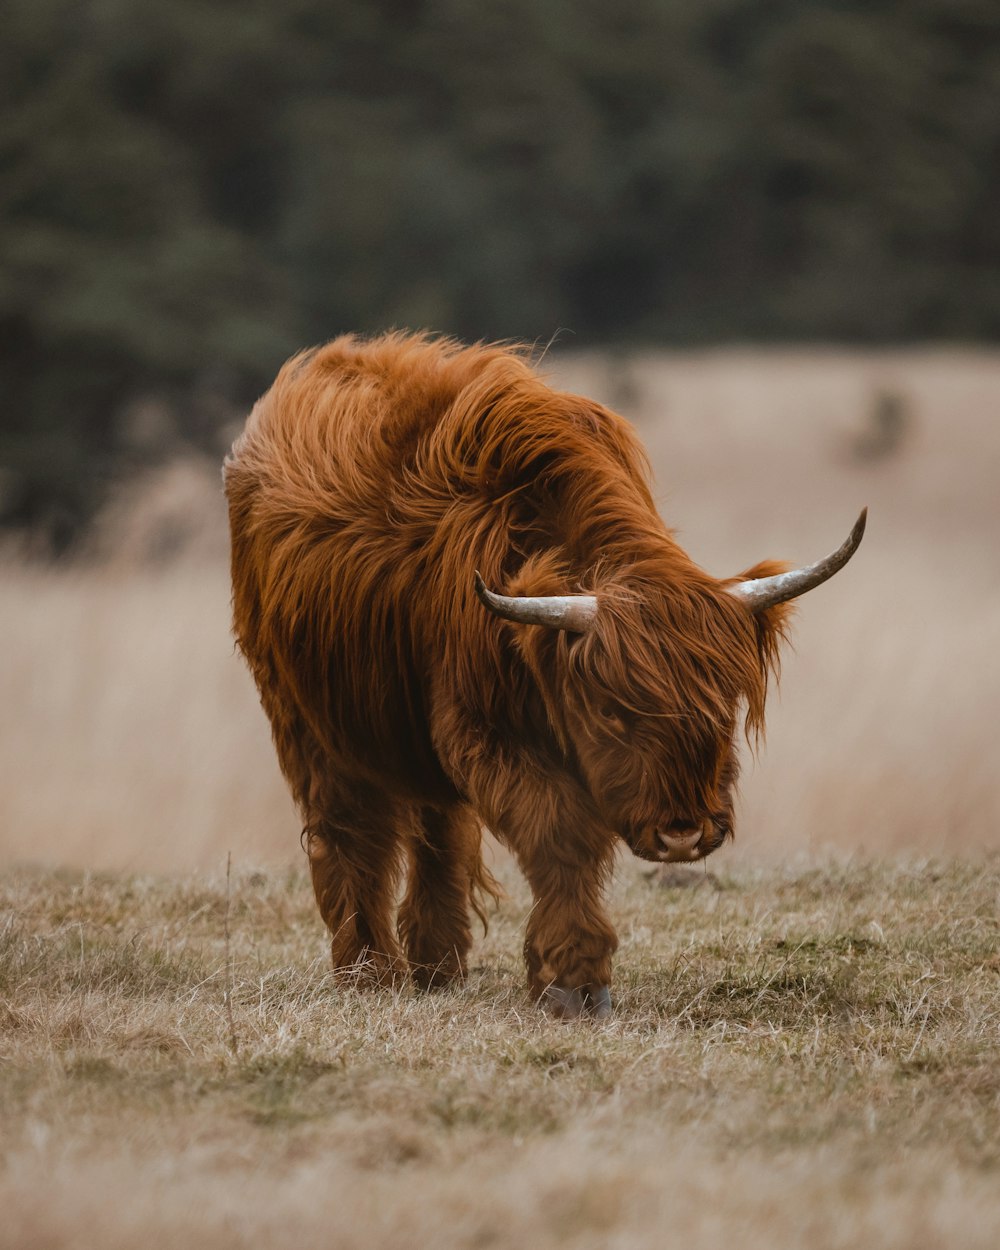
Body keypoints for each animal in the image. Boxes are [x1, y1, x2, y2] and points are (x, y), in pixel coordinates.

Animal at [222, 332, 865, 1015]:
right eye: (612, 712)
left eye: (725, 704)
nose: (683, 836)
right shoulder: (483, 729)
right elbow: (559, 834)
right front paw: (573, 982)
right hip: (307, 720)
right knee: (350, 833)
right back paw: (370, 971)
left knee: (437, 828)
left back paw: (437, 963)